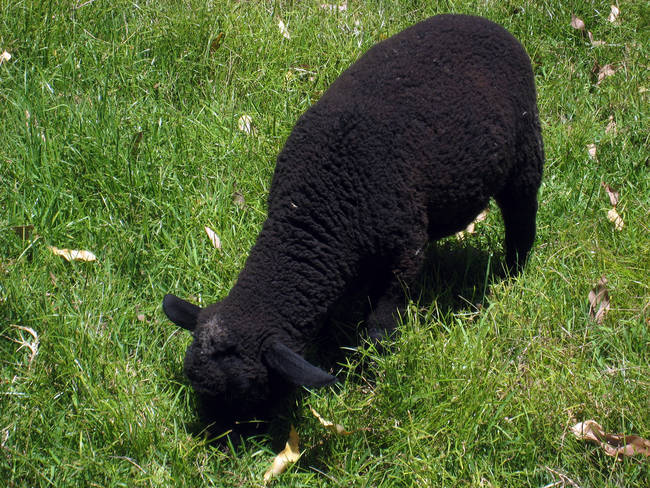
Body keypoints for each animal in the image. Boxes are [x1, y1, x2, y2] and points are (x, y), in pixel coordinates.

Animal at [163, 14, 544, 426]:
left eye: (243, 393)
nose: (210, 438)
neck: (319, 209)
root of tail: (486, 22)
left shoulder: (405, 249)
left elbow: (380, 326)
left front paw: (375, 371)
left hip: (526, 150)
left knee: (522, 216)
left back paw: (513, 272)